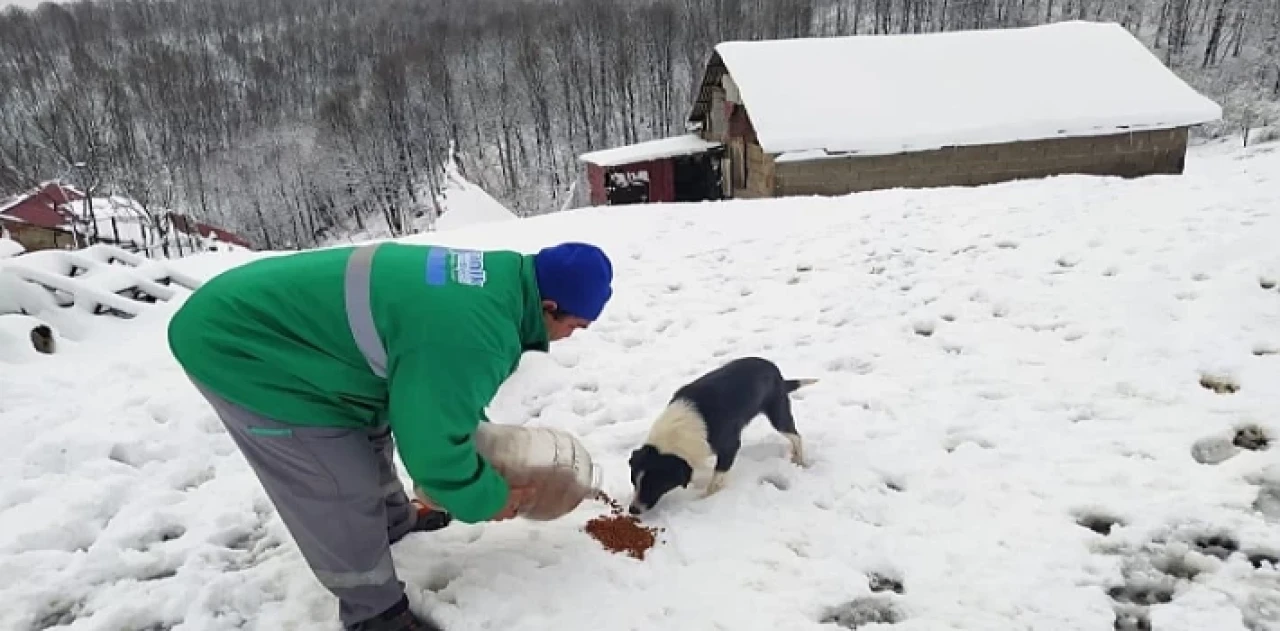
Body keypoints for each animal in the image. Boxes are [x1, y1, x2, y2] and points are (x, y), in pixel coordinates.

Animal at [624, 355, 814, 514]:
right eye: (633, 481)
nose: (633, 510)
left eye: (654, 485)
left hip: (778, 413)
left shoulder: (729, 447)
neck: (679, 431)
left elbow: (715, 479)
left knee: (796, 436)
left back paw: (799, 459)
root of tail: (775, 369)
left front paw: (705, 498)